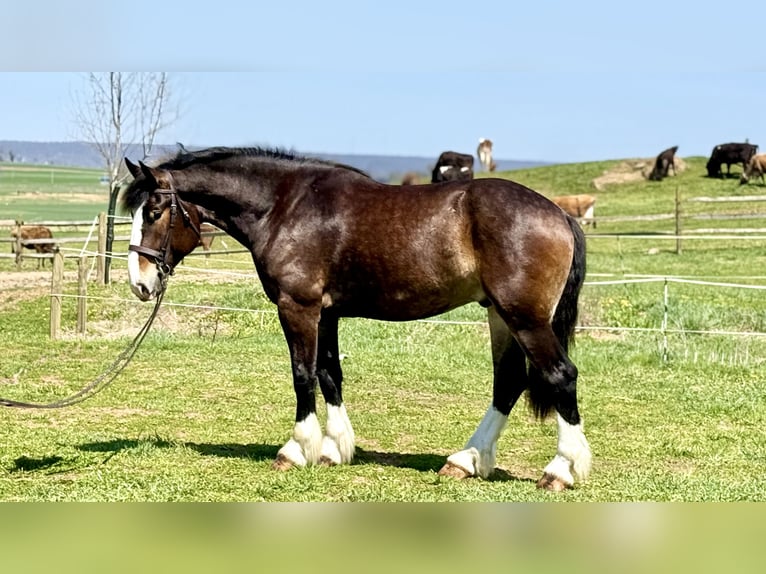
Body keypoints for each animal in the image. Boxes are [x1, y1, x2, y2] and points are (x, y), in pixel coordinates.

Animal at [120, 146, 591, 491]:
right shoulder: (326, 313)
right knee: (508, 381)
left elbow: (303, 374)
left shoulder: (298, 307)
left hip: (524, 317)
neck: (284, 207)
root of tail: (558, 214)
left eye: (155, 211)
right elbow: (330, 374)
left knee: (560, 375)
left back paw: (559, 470)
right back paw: (465, 460)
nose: (140, 283)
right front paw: (334, 449)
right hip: (499, 314)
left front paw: (297, 450)